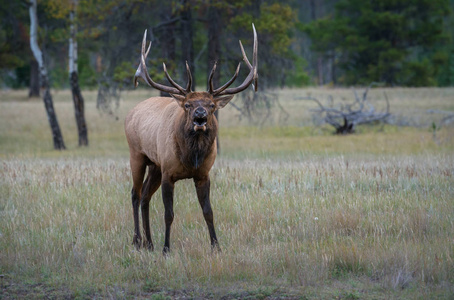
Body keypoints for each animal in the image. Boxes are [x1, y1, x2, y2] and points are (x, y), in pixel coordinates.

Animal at [124, 24, 258, 253]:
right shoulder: (168, 173)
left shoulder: (203, 174)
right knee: (135, 194)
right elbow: (169, 215)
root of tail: (131, 112)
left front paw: (216, 247)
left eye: (211, 105)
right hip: (137, 155)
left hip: (155, 165)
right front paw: (166, 249)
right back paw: (137, 241)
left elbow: (208, 212)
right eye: (188, 105)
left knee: (145, 197)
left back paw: (149, 243)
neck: (191, 157)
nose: (200, 117)